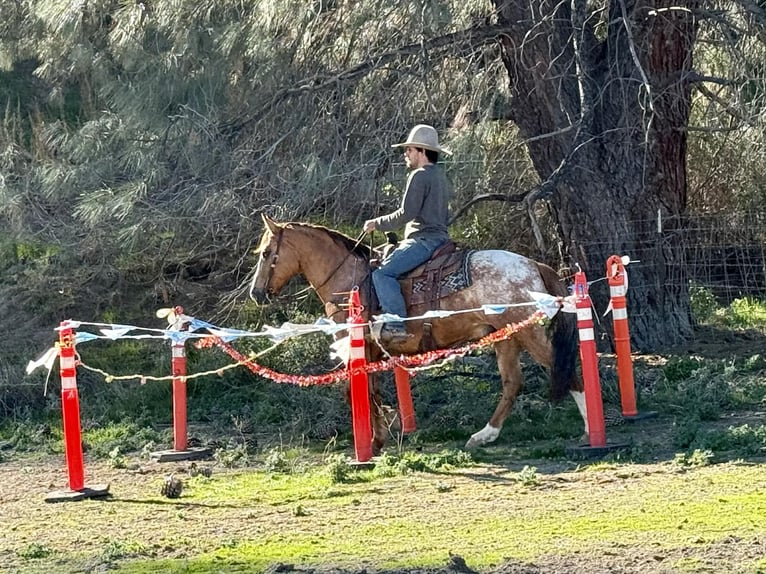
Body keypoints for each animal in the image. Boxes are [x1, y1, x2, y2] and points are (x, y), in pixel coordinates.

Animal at [249, 214, 588, 452]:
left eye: (266, 253)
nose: (256, 293)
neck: (348, 279)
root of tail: (534, 265)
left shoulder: (357, 348)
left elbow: (358, 392)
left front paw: (372, 444)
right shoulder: (373, 350)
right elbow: (372, 391)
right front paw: (381, 438)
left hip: (527, 333)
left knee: (565, 371)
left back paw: (589, 430)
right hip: (506, 337)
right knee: (512, 384)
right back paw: (483, 436)